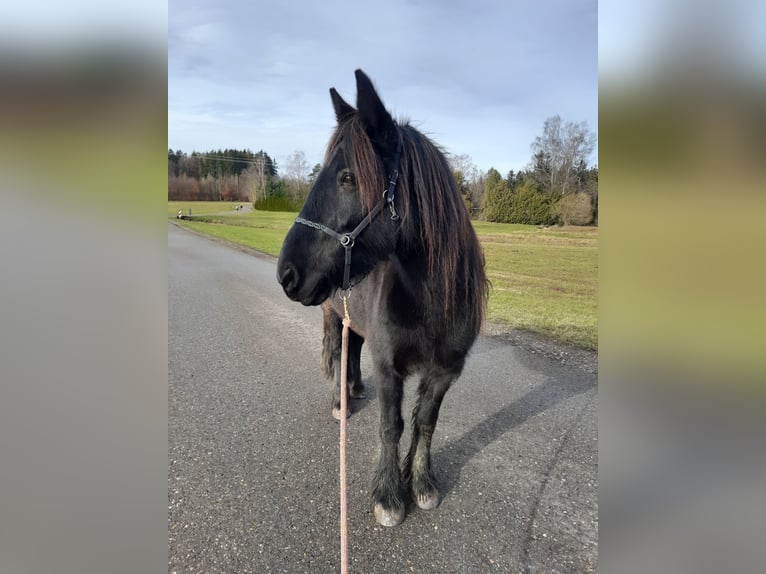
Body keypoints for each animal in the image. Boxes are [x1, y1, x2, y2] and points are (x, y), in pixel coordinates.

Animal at [277, 69, 488, 527]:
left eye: (348, 177)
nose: (286, 273)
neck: (430, 302)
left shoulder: (444, 371)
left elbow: (425, 423)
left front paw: (421, 483)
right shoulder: (389, 365)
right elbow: (391, 425)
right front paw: (389, 495)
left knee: (354, 351)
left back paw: (356, 389)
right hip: (332, 316)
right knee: (339, 355)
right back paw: (341, 401)